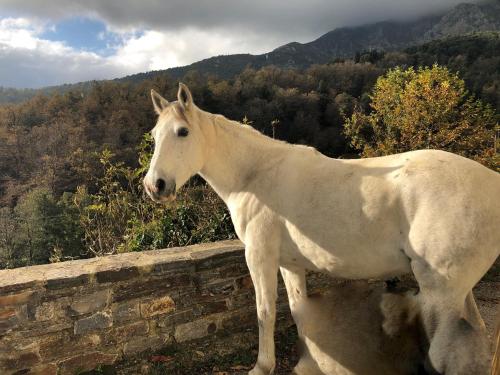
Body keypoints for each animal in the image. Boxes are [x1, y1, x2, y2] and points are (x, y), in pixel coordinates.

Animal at [143, 83, 498, 374]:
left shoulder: (259, 257)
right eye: (154, 135)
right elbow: (299, 311)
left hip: (444, 292)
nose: (154, 186)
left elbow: (264, 312)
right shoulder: (288, 264)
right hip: (458, 291)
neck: (255, 176)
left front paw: (262, 366)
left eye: (182, 132)